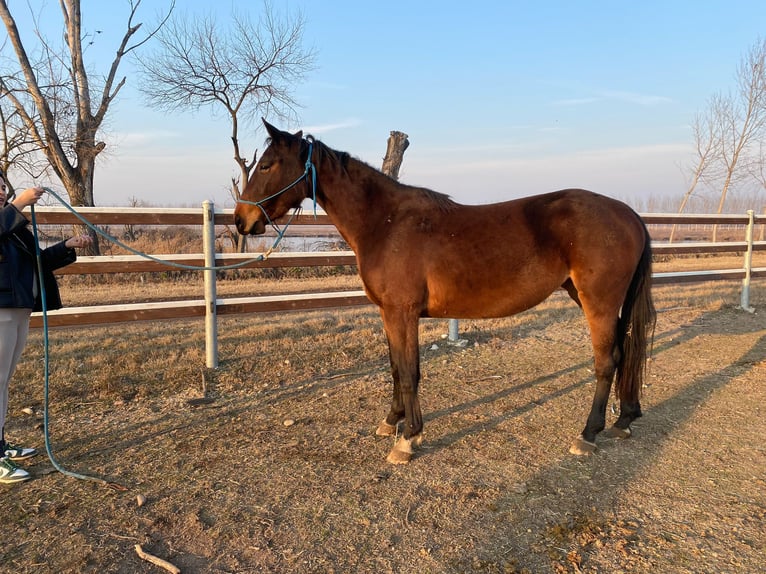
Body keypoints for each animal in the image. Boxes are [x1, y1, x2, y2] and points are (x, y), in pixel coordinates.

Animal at [237, 121, 656, 468]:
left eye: (268, 165)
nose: (242, 221)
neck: (385, 223)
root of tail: (630, 215)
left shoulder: (402, 312)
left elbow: (409, 372)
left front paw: (408, 439)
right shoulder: (389, 313)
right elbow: (395, 368)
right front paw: (391, 422)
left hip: (598, 302)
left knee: (607, 361)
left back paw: (588, 434)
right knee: (624, 353)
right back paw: (624, 419)